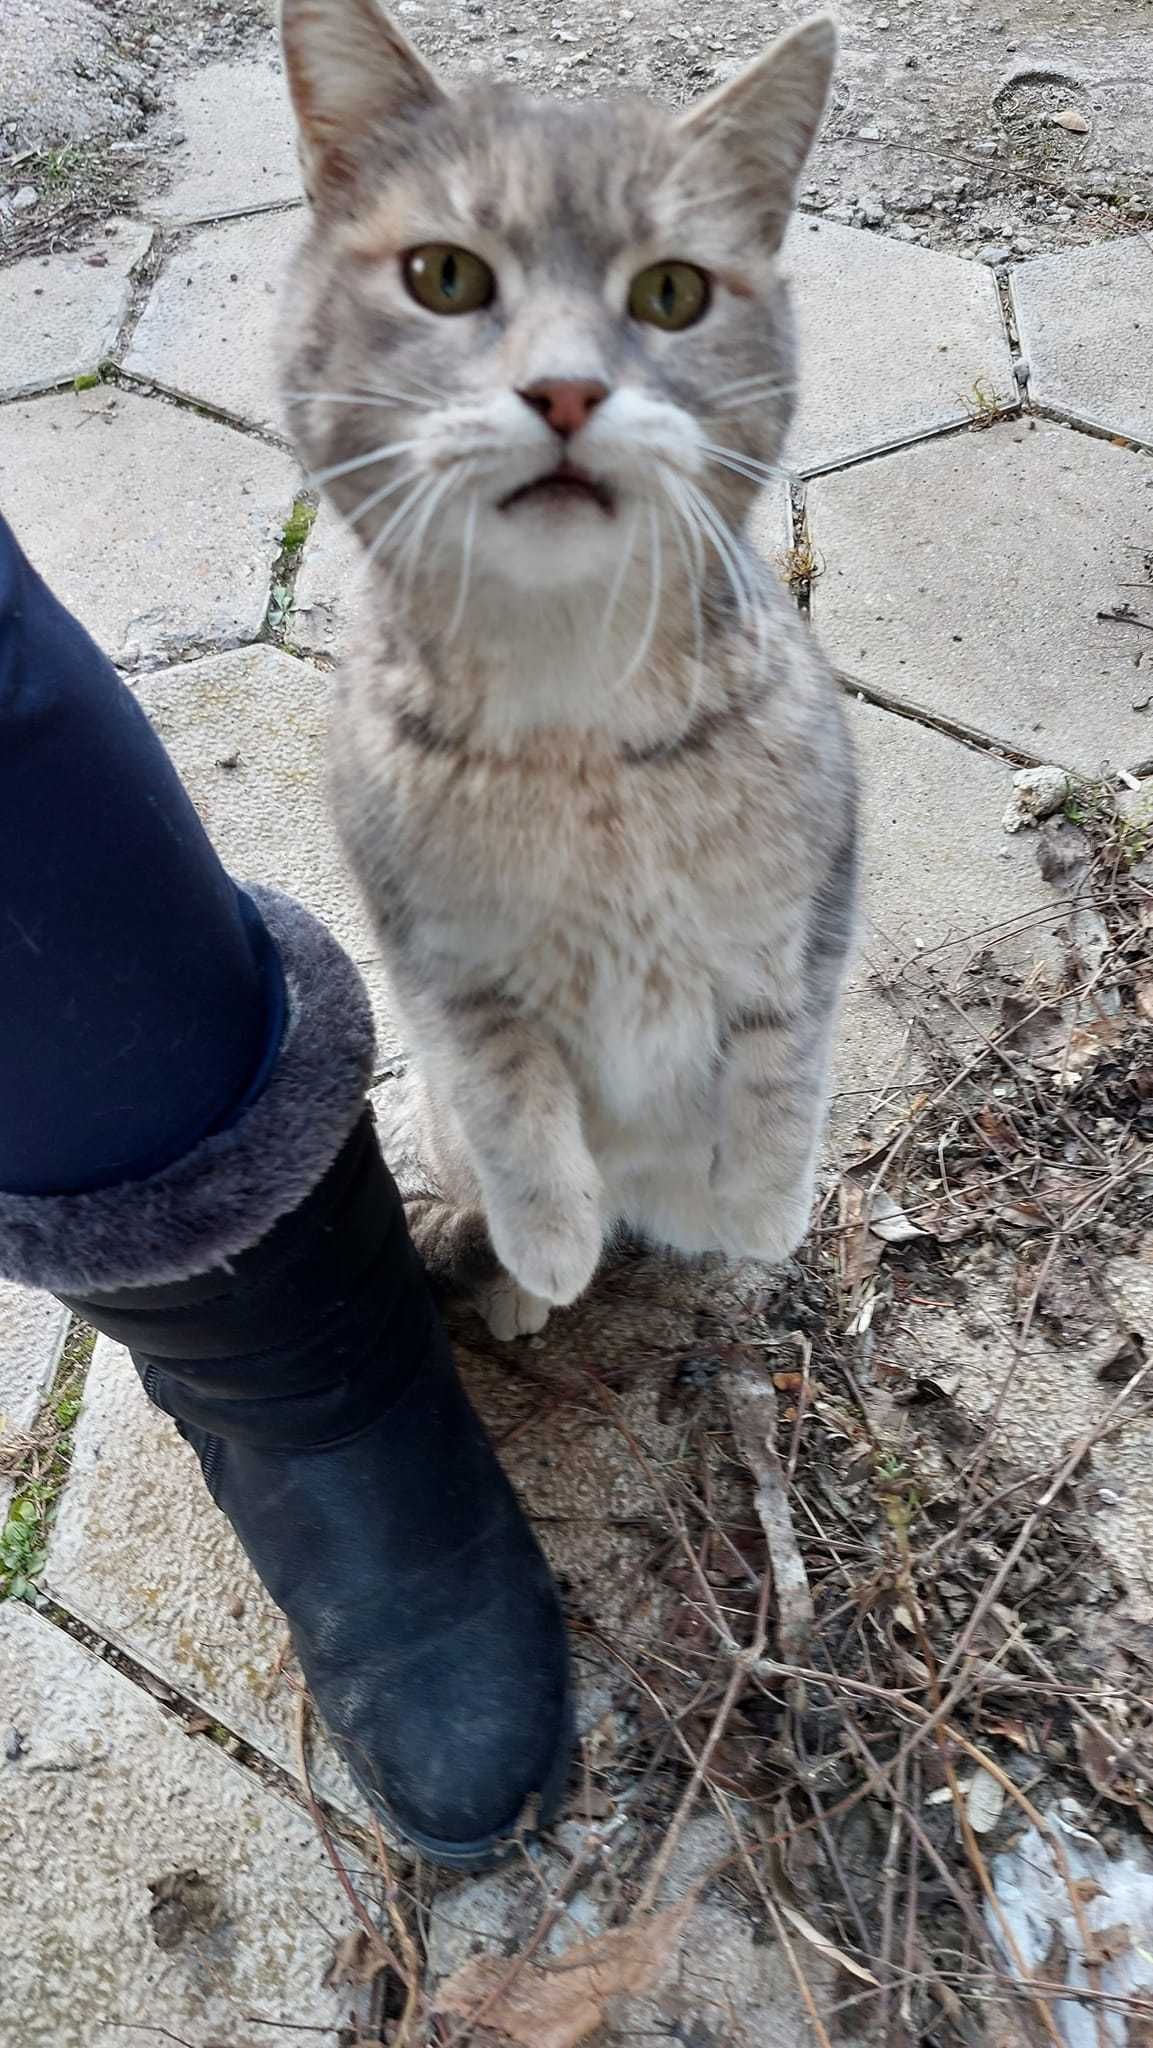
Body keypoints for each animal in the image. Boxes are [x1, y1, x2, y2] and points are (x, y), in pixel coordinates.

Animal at [276, 0, 856, 1335]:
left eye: (671, 290)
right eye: (445, 276)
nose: (566, 389)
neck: (576, 722)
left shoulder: (815, 901)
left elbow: (782, 1060)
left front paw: (756, 1210)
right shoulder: (446, 976)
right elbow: (510, 1107)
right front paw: (547, 1247)